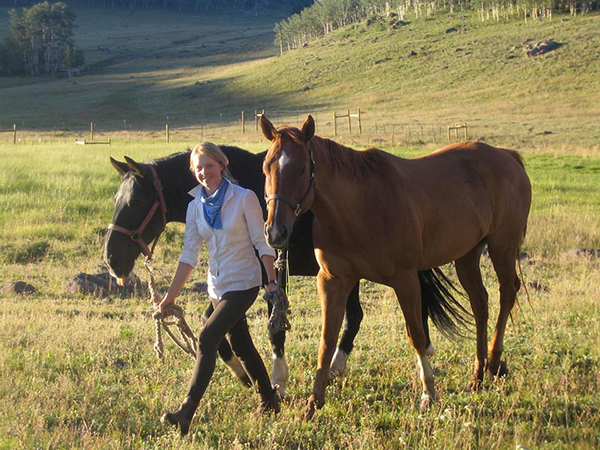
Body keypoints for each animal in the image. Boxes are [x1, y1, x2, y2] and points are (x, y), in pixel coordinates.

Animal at [104, 146, 464, 396]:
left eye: (135, 203)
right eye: (117, 200)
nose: (111, 260)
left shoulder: (269, 277)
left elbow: (273, 330)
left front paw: (277, 379)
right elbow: (212, 320)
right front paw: (242, 373)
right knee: (362, 314)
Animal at [260, 115, 532, 418]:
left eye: (302, 169)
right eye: (266, 167)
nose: (276, 232)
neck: (359, 207)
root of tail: (508, 157)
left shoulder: (406, 280)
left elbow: (416, 335)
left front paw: (428, 393)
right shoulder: (333, 280)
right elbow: (327, 340)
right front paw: (313, 403)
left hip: (501, 247)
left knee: (507, 293)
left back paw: (494, 362)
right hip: (467, 255)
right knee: (480, 304)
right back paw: (478, 374)